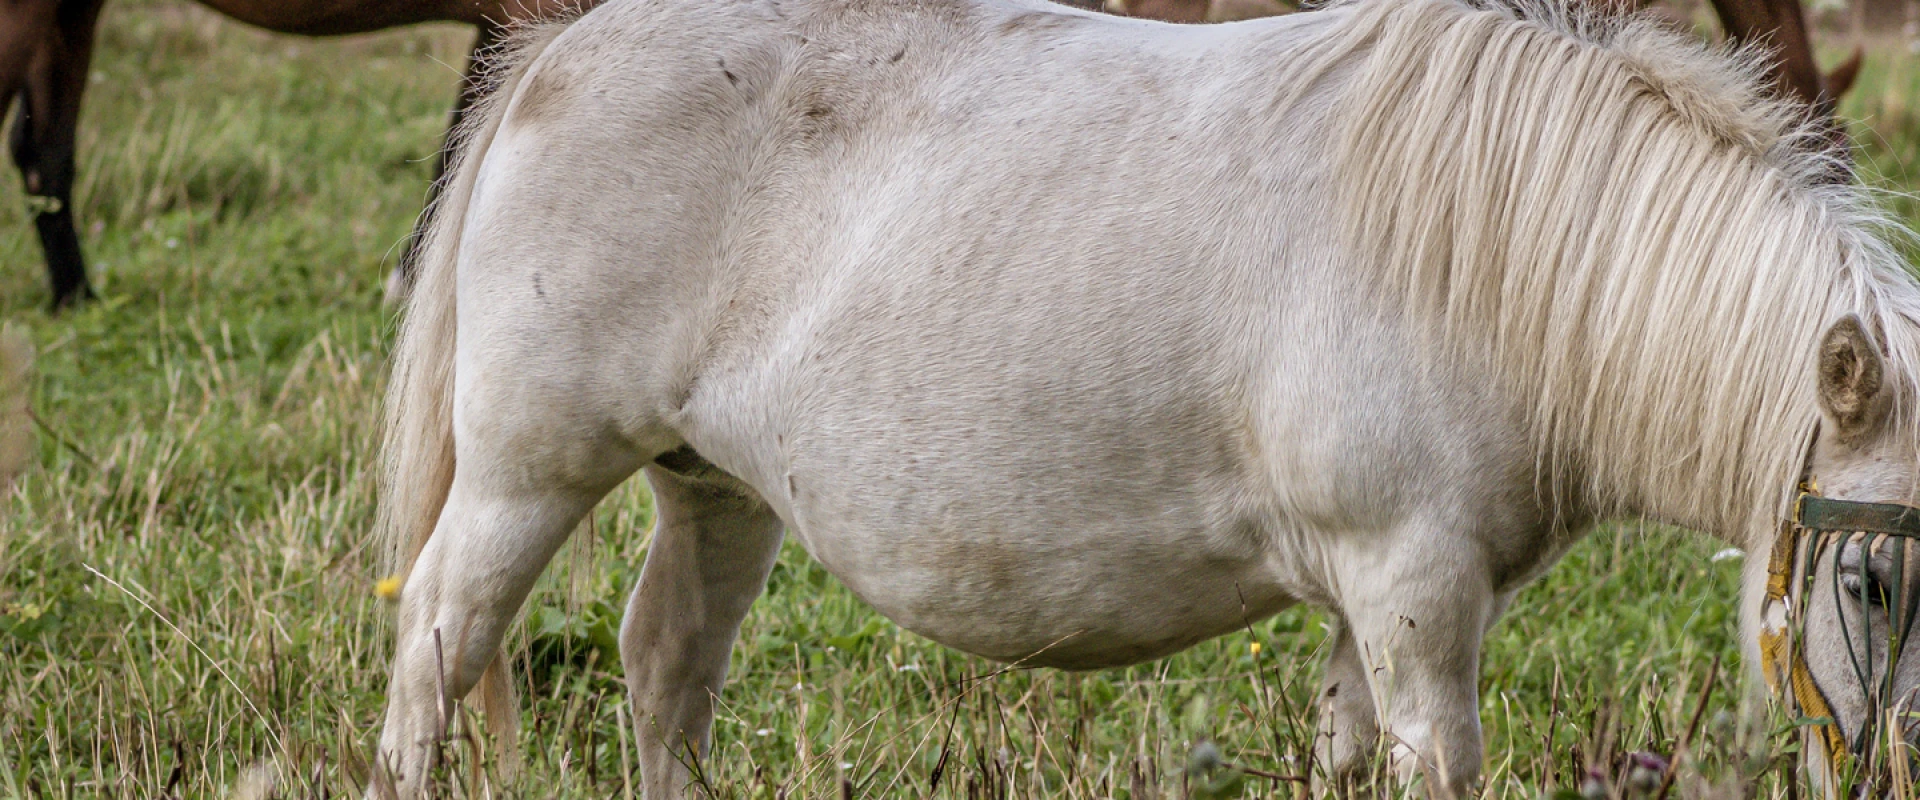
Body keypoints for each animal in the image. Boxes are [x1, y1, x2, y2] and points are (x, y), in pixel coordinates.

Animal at [370, 0, 1920, 795]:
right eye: (1871, 586)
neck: (1493, 262)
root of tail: (562, 48)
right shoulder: (1415, 591)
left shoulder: (1371, 604)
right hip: (527, 474)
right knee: (439, 646)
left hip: (715, 488)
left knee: (665, 668)